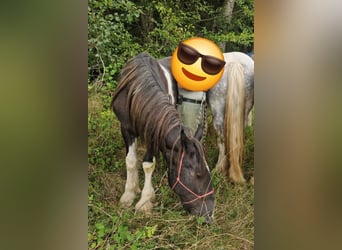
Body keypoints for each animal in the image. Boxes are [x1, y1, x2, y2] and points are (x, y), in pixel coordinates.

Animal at [111, 52, 214, 223]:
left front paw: (145, 201)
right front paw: (129, 195)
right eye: (198, 174)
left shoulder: (154, 132)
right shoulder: (126, 128)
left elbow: (148, 164)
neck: (138, 90)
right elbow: (131, 161)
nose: (209, 214)